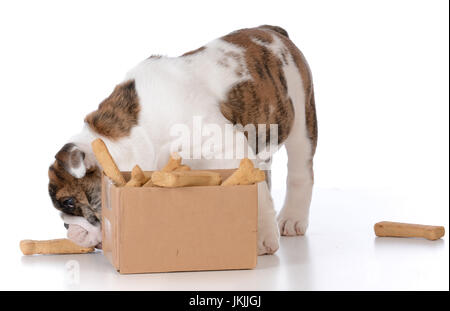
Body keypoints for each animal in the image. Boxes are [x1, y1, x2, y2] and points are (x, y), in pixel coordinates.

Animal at [48, 26, 316, 256]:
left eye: (68, 202)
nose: (67, 227)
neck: (139, 131)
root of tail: (273, 31)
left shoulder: (229, 144)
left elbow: (256, 191)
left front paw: (263, 236)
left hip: (302, 119)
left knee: (300, 171)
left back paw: (292, 218)